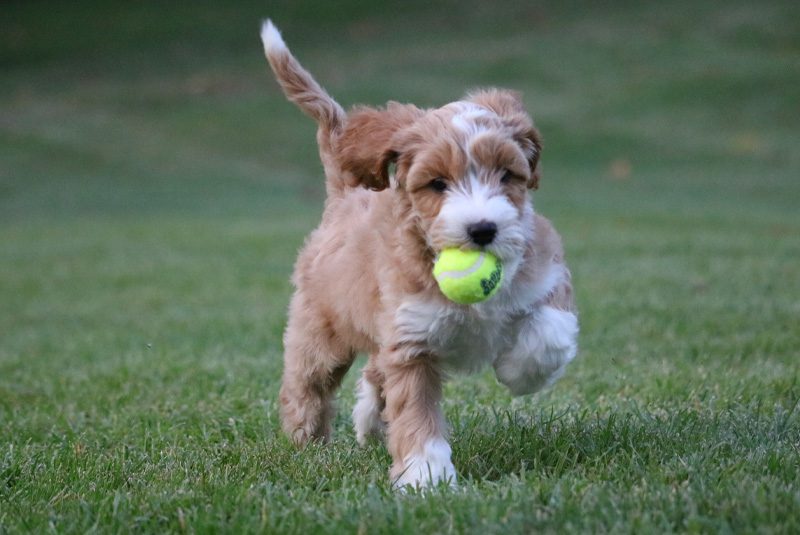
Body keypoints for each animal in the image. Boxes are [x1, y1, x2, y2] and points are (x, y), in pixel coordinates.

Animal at [260, 21, 580, 490]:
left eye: (507, 175)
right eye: (437, 184)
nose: (483, 229)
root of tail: (344, 198)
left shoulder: (545, 274)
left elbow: (550, 332)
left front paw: (520, 371)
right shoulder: (412, 341)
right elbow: (414, 411)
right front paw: (426, 478)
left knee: (373, 372)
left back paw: (368, 422)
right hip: (321, 332)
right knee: (308, 383)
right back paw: (307, 441)